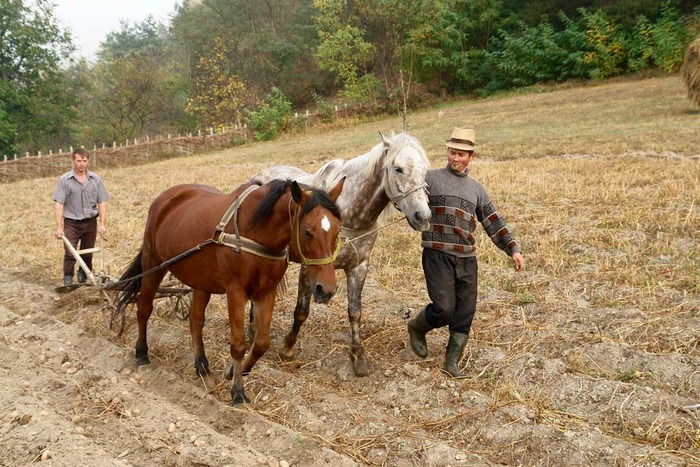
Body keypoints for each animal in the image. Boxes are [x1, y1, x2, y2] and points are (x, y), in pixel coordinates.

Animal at [114, 177, 344, 404]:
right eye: (307, 232)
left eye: (337, 231)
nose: (326, 289)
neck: (255, 232)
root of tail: (165, 198)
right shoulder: (235, 292)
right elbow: (239, 344)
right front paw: (238, 392)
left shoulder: (266, 292)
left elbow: (261, 343)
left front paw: (235, 371)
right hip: (153, 263)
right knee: (144, 308)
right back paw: (142, 354)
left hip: (200, 280)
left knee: (196, 321)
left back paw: (202, 368)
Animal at [254, 133, 432, 376]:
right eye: (398, 168)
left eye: (425, 170)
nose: (423, 217)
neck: (347, 215)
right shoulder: (309, 267)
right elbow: (302, 311)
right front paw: (287, 348)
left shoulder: (358, 267)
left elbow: (355, 312)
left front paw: (358, 357)